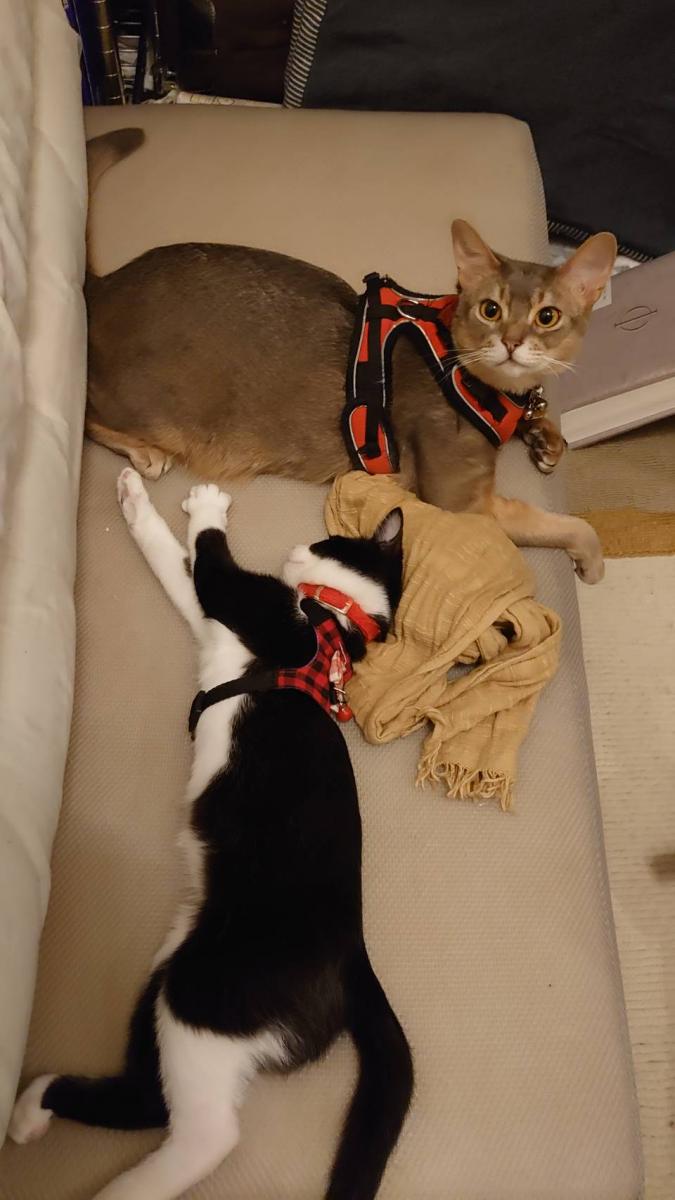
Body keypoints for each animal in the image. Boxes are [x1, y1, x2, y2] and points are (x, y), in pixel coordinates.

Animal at [9, 470, 413, 1200]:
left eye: (327, 539)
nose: (297, 547)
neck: (331, 625)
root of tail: (353, 956)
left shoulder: (247, 606)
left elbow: (209, 562)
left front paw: (206, 506)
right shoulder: (215, 623)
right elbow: (176, 565)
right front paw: (135, 499)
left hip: (208, 996)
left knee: (203, 1133)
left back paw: (121, 1187)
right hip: (170, 975)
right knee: (146, 1100)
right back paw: (31, 1108)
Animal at [85, 129, 617, 584]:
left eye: (547, 317)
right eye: (491, 310)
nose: (510, 341)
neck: (490, 389)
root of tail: (105, 285)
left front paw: (545, 439)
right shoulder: (461, 503)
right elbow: (567, 524)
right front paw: (590, 561)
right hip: (149, 407)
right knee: (87, 413)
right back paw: (145, 453)